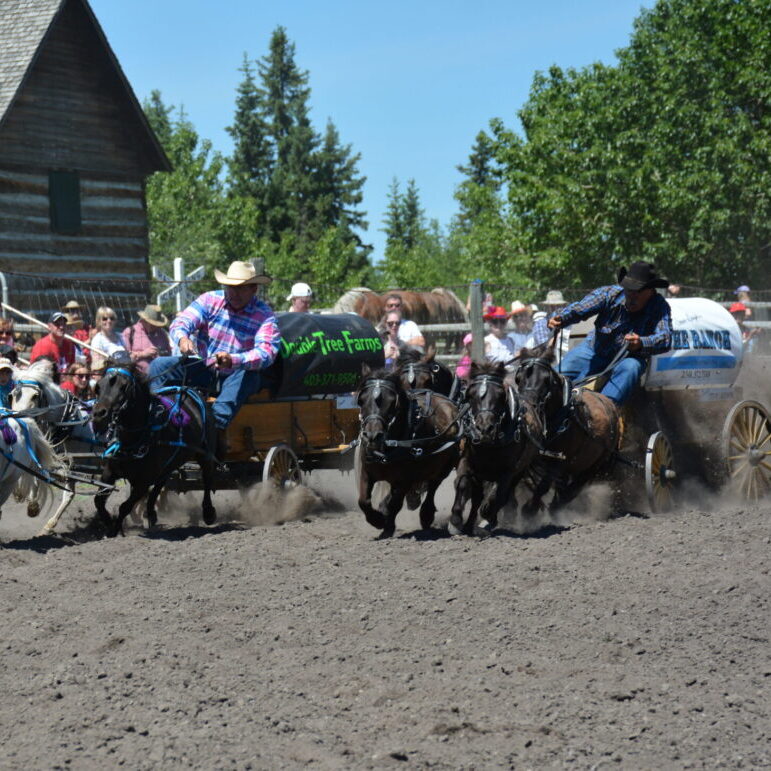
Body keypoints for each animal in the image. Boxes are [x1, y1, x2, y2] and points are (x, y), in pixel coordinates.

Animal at [90, 364, 219, 536]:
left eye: (123, 387)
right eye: (98, 387)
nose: (99, 414)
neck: (133, 440)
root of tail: (192, 391)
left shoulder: (143, 481)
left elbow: (125, 506)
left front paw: (115, 529)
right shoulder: (110, 472)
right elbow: (98, 500)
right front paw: (109, 524)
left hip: (205, 454)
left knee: (207, 479)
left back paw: (208, 512)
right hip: (169, 464)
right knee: (161, 483)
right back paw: (150, 512)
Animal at [358, 366, 462, 536]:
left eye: (392, 401)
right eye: (361, 399)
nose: (372, 436)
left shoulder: (406, 479)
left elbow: (395, 503)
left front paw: (386, 527)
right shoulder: (366, 472)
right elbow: (363, 501)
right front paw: (377, 519)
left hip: (445, 465)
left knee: (434, 485)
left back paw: (426, 515)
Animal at [450, 362, 540, 536]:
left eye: (500, 395)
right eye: (471, 394)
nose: (484, 429)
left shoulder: (508, 471)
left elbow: (498, 495)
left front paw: (487, 517)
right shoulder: (467, 460)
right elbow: (462, 484)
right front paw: (455, 521)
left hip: (519, 471)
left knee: (502, 496)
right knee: (477, 497)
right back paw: (469, 525)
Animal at [512, 350, 620, 520]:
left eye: (546, 380)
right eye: (518, 378)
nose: (528, 407)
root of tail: (610, 403)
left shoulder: (559, 462)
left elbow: (543, 486)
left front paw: (529, 511)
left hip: (595, 464)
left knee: (575, 487)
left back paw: (557, 506)